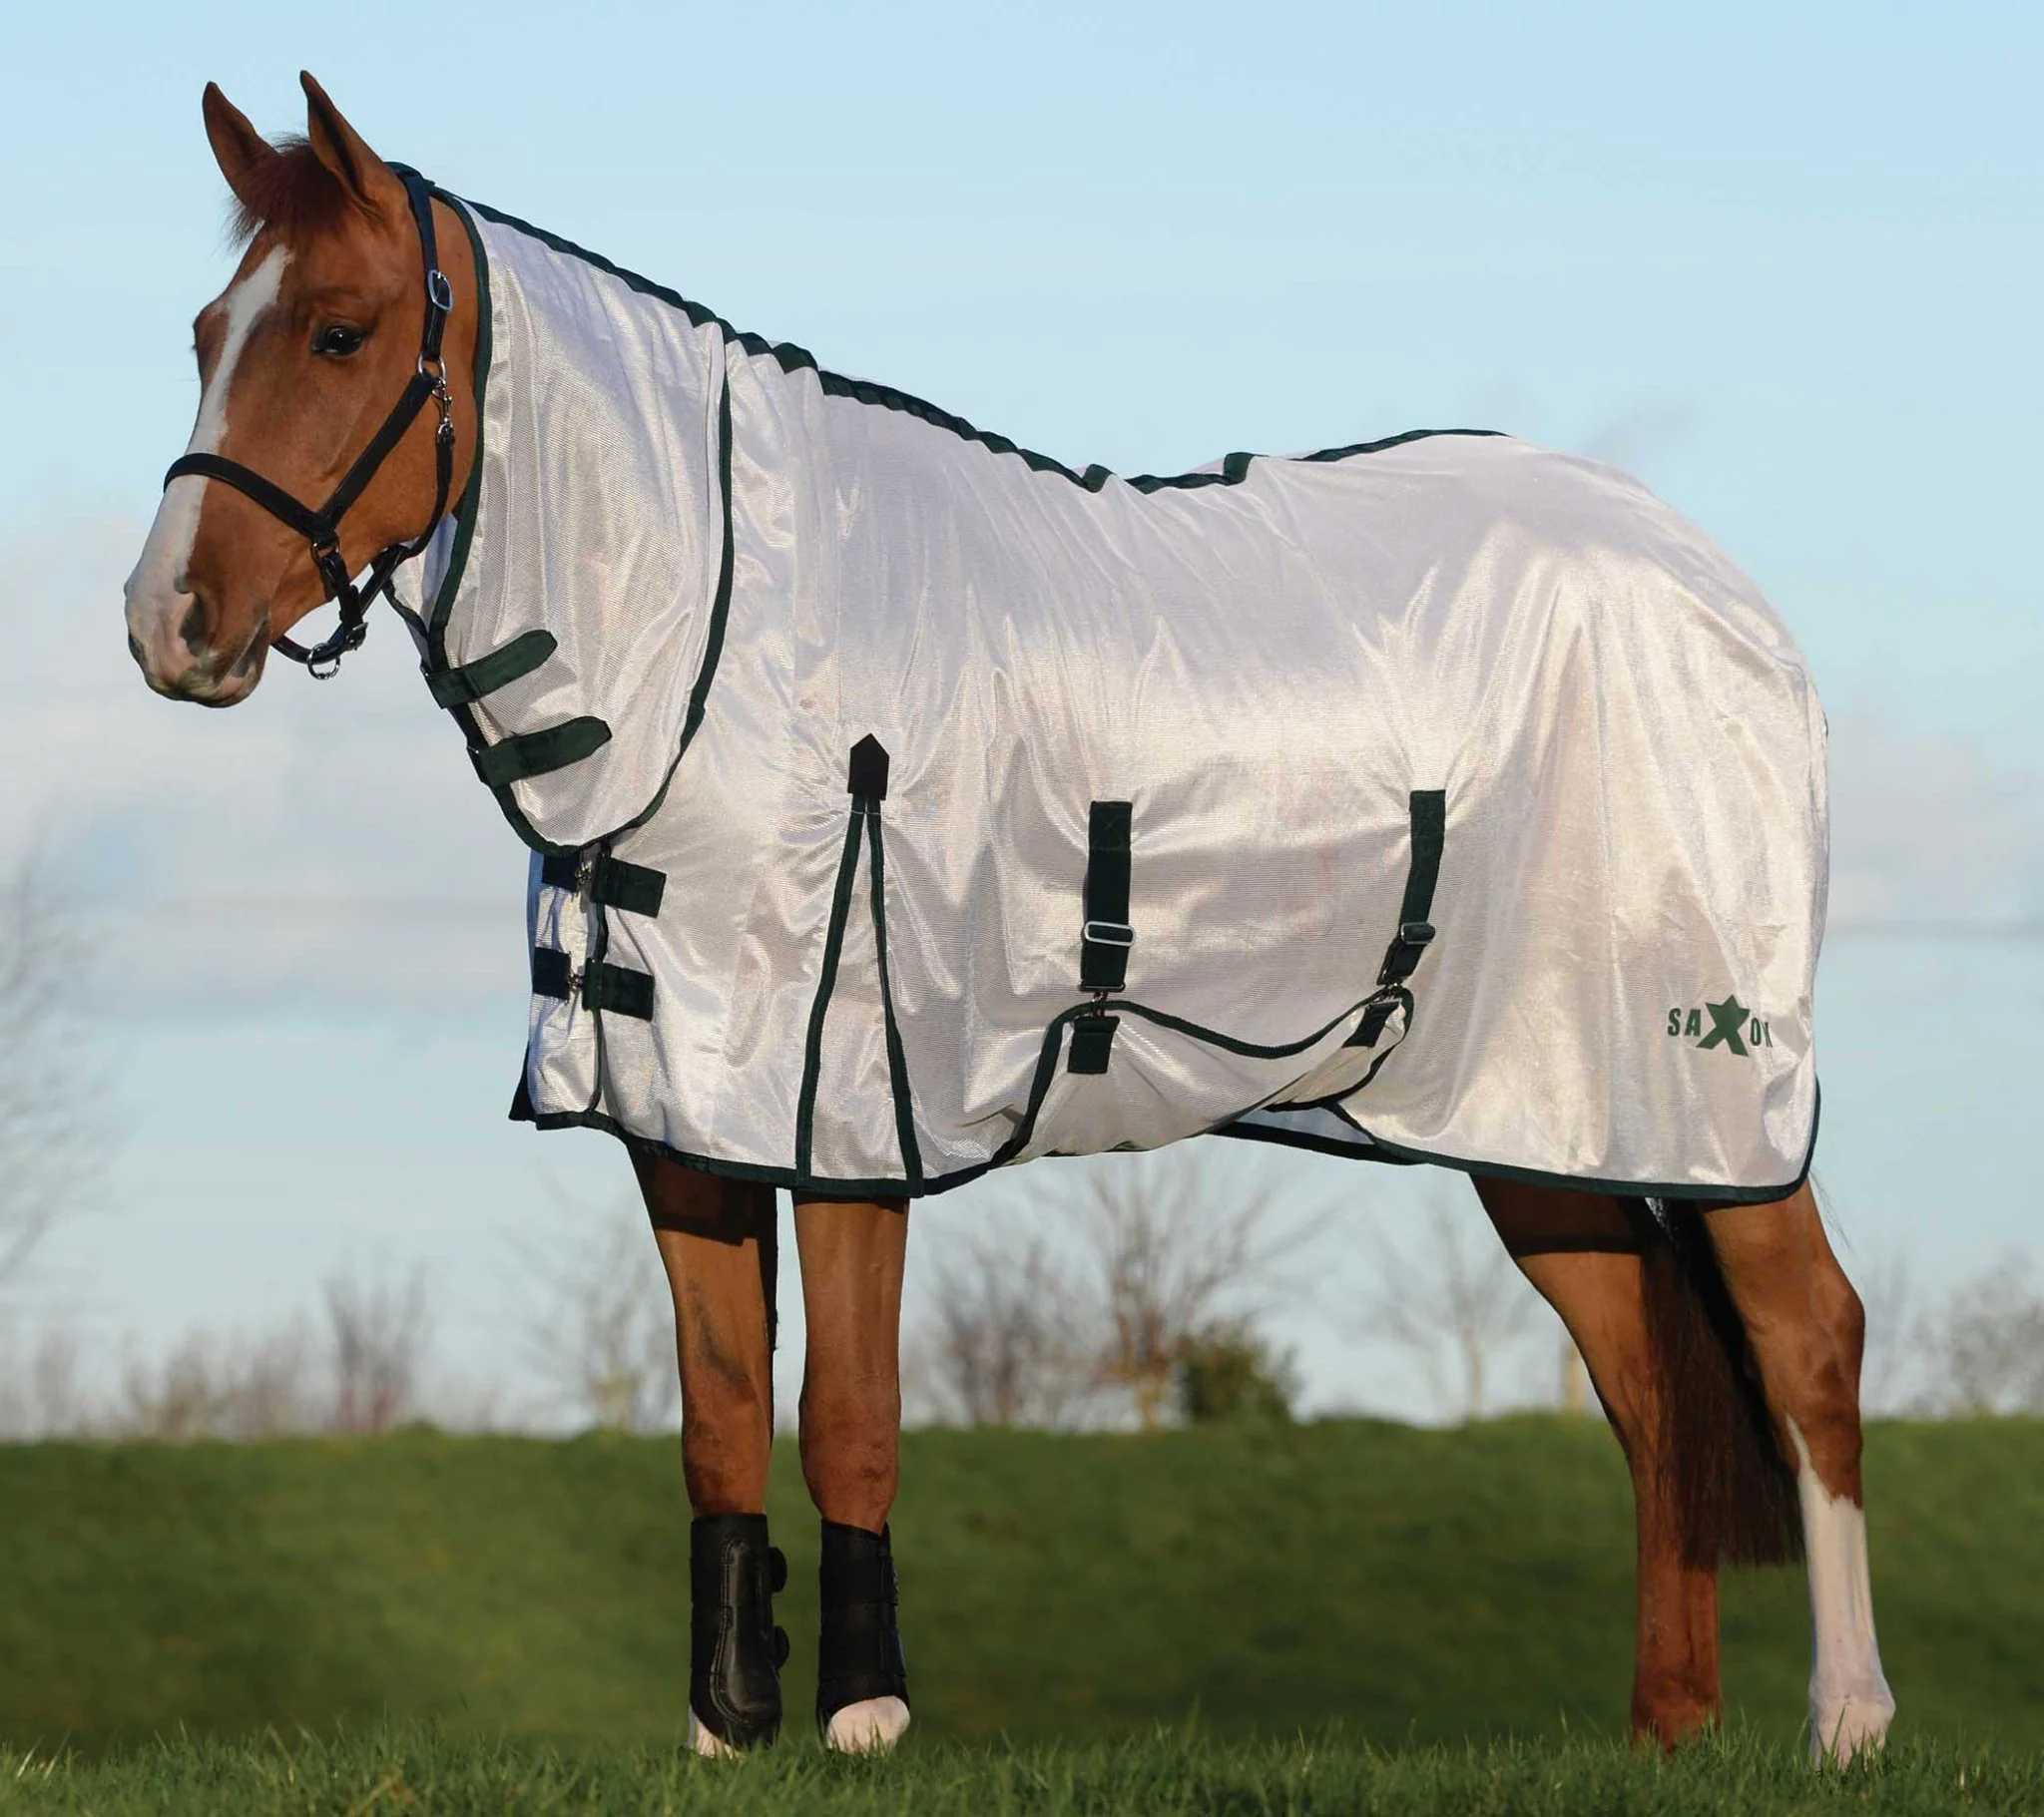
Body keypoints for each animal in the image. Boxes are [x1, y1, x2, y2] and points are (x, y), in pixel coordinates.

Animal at [124, 73, 1894, 1763]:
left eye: (339, 330)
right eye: (208, 333)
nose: (168, 623)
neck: (725, 634)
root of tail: (1729, 599)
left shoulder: (850, 1101)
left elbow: (847, 1412)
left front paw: (866, 1718)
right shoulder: (685, 1118)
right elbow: (718, 1421)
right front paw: (723, 1725)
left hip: (1707, 1086)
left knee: (1807, 1340)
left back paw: (1847, 1720)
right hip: (1533, 1114)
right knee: (1653, 1393)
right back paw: (1667, 1729)